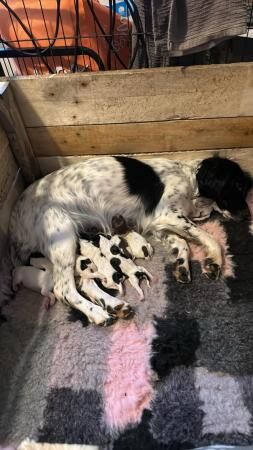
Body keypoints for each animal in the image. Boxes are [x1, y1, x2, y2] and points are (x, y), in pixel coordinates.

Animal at [9, 156, 251, 326]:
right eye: (238, 186)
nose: (247, 216)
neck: (191, 182)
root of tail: (15, 219)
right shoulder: (167, 214)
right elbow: (209, 237)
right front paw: (215, 261)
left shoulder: (157, 223)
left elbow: (182, 243)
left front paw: (182, 266)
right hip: (63, 236)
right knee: (63, 289)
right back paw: (98, 314)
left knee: (84, 283)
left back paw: (115, 306)